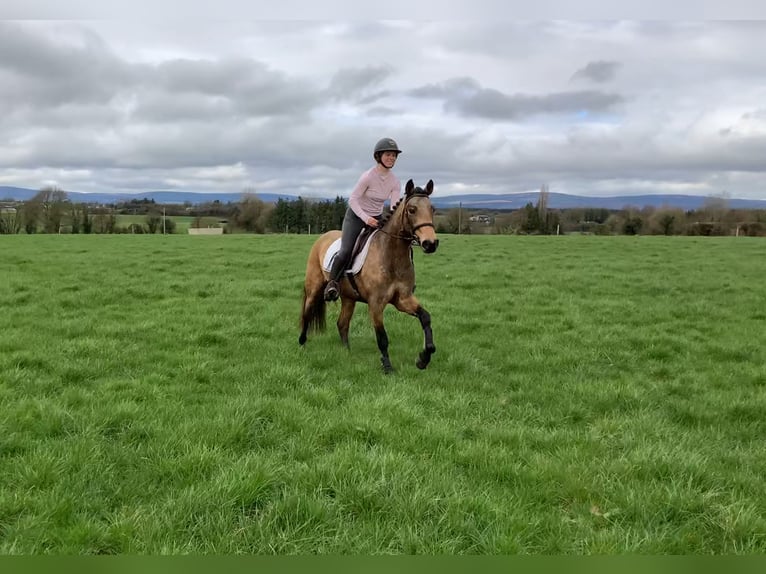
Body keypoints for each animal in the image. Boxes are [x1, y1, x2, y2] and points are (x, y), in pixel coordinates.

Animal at [299, 179, 439, 373]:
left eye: (432, 209)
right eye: (412, 210)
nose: (430, 243)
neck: (391, 256)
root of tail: (322, 237)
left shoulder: (403, 299)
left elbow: (425, 317)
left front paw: (423, 358)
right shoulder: (376, 303)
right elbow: (382, 337)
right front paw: (387, 367)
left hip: (349, 297)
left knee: (342, 324)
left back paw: (347, 352)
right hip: (314, 288)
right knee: (307, 313)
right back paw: (302, 344)